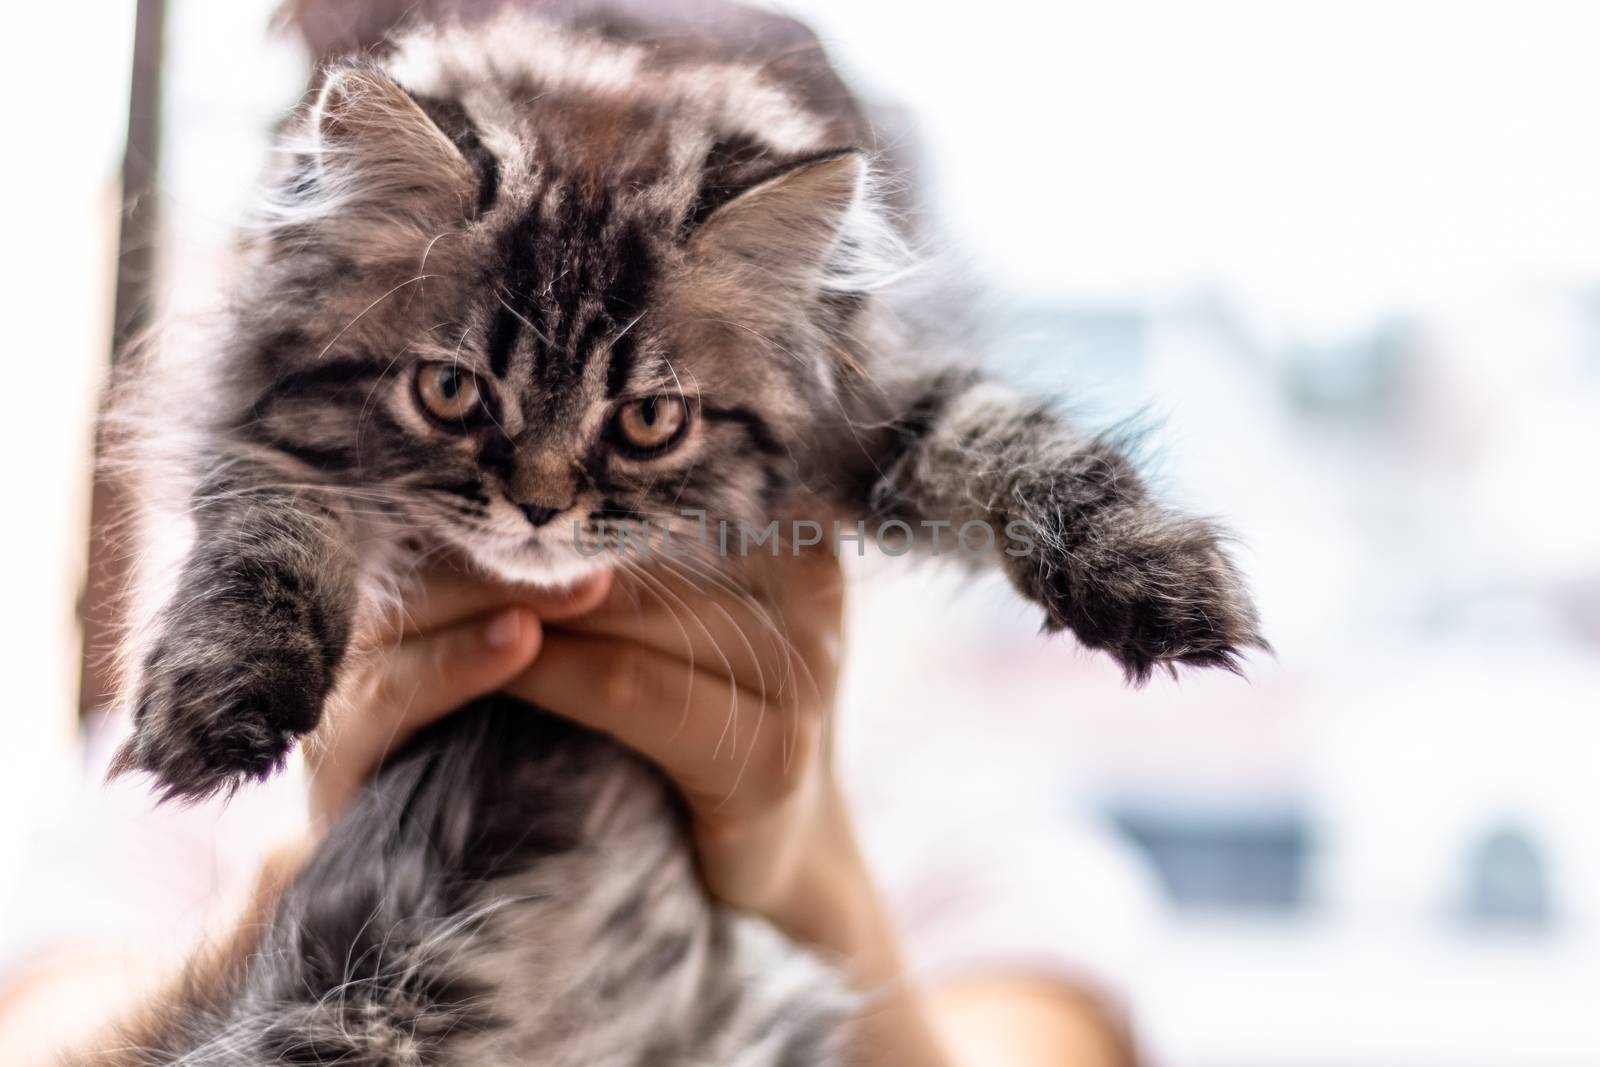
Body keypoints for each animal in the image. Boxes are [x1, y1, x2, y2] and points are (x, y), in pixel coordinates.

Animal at [100, 2, 1260, 1062]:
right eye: (450, 391)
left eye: (650, 420)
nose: (539, 505)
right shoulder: (258, 433)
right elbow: (263, 536)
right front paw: (223, 694)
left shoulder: (876, 399)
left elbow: (1024, 439)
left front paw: (1154, 576)